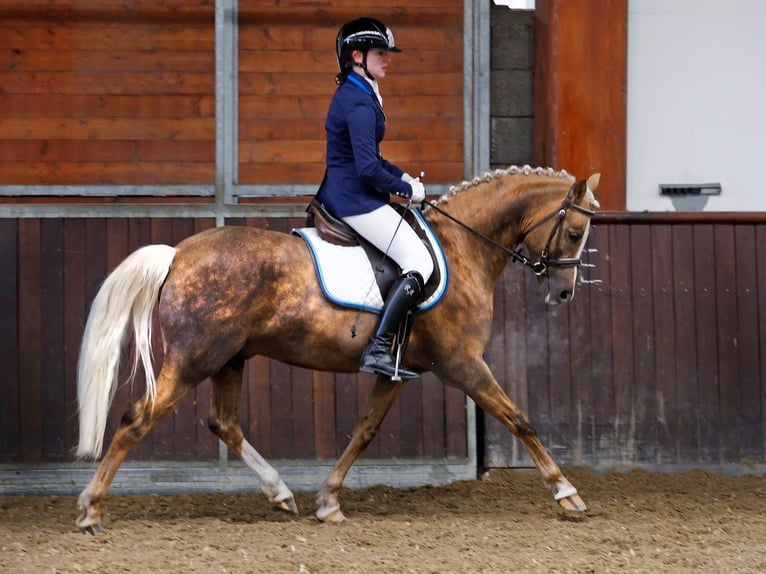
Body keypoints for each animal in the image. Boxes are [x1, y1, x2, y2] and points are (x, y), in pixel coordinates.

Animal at [74, 165, 601, 533]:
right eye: (575, 233)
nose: (563, 294)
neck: (461, 247)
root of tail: (178, 254)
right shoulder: (462, 365)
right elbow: (519, 419)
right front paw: (567, 492)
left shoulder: (398, 370)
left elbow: (364, 431)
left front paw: (328, 501)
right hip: (194, 360)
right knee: (137, 418)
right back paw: (90, 511)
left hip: (230, 359)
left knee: (224, 423)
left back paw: (280, 492)